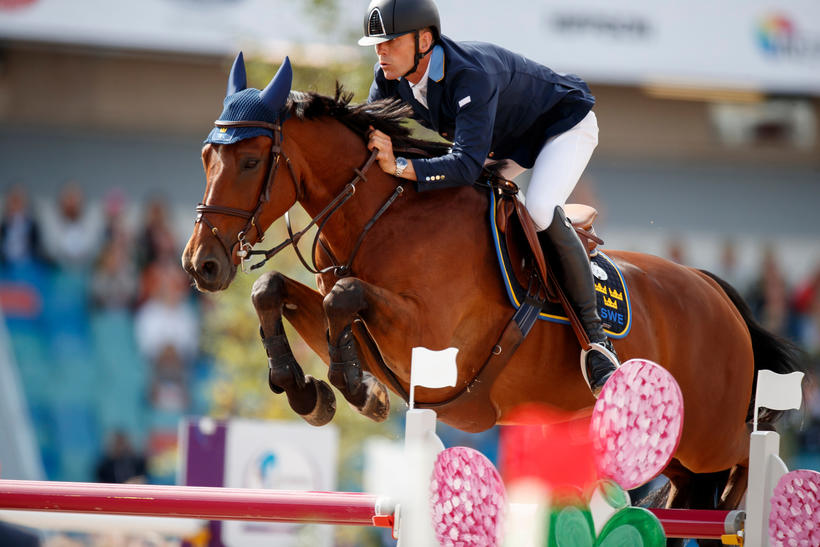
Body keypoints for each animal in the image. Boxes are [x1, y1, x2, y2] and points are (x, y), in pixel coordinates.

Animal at [181, 55, 800, 524]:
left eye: (251, 160)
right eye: (206, 156)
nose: (201, 265)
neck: (381, 217)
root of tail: (716, 291)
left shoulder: (434, 344)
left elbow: (344, 297)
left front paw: (355, 389)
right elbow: (274, 288)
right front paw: (312, 392)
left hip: (710, 433)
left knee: (750, 455)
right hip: (673, 447)